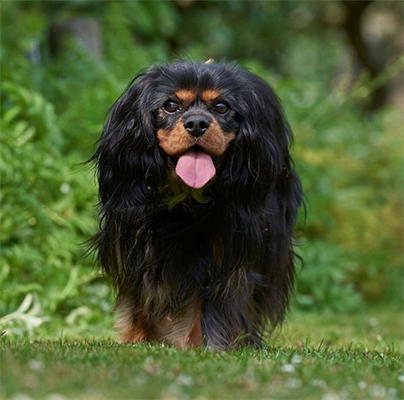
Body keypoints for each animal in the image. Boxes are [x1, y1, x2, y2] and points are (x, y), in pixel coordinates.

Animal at [89, 60, 304, 350]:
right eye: (171, 105)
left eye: (222, 107)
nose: (197, 123)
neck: (185, 200)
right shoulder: (134, 244)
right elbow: (140, 296)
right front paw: (138, 338)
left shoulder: (226, 256)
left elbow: (214, 306)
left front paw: (206, 345)